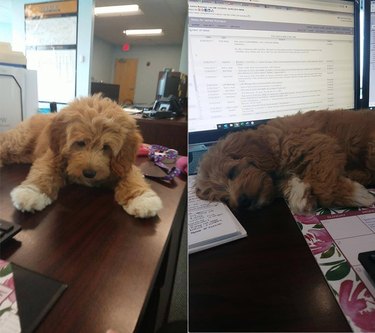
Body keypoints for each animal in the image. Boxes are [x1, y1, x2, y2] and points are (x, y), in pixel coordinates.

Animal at [1, 94, 163, 218]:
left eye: (106, 147)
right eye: (80, 143)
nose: (89, 173)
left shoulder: (123, 164)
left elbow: (133, 178)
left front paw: (143, 199)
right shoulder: (53, 156)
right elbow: (43, 172)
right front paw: (30, 193)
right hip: (19, 140)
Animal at [195, 109, 375, 213]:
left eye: (232, 172)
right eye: (224, 199)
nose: (242, 202)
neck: (271, 143)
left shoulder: (316, 147)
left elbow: (324, 185)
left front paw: (358, 195)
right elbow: (289, 183)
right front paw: (300, 195)